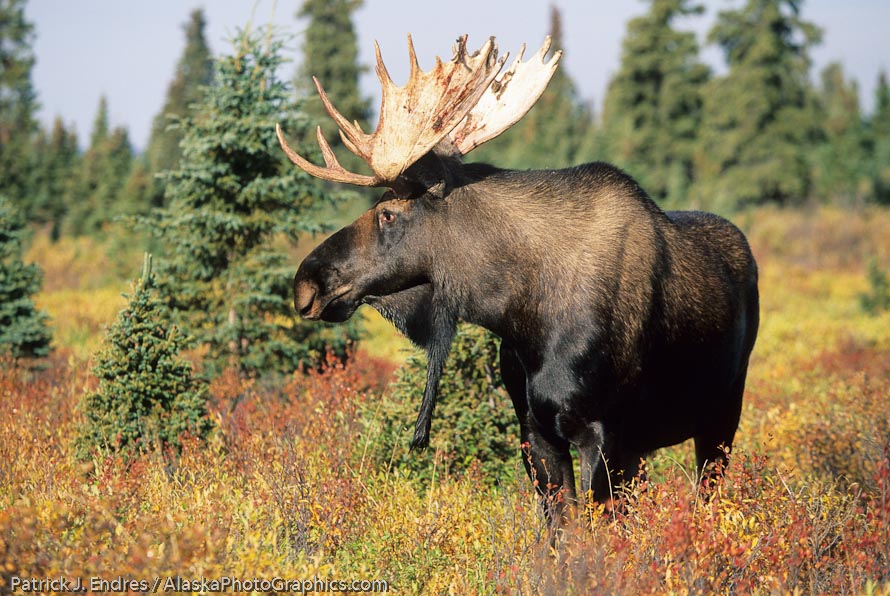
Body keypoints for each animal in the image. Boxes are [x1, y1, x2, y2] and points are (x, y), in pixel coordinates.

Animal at [278, 35, 756, 520]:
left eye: (388, 213)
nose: (305, 282)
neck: (520, 315)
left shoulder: (604, 430)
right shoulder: (534, 431)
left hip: (721, 415)